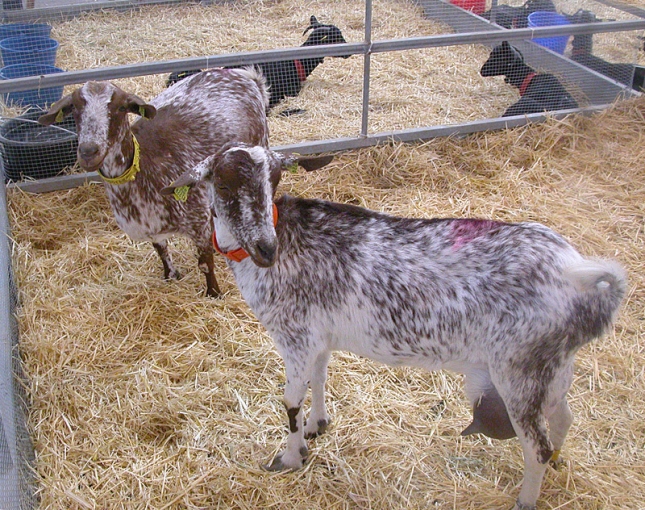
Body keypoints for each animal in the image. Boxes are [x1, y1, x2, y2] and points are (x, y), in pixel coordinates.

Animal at [38, 68, 271, 298]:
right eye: (75, 108)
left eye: (120, 107)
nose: (88, 152)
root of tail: (246, 76)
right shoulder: (151, 225)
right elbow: (161, 250)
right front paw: (170, 275)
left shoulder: (197, 221)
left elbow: (205, 264)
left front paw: (213, 293)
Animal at [161, 144, 626, 510]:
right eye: (223, 184)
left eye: (274, 179)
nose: (265, 249)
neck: (288, 242)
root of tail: (576, 272)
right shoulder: (318, 337)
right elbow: (319, 379)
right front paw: (317, 426)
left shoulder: (295, 337)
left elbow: (290, 399)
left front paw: (289, 457)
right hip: (551, 365)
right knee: (563, 417)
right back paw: (561, 461)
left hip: (518, 370)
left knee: (537, 446)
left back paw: (526, 500)